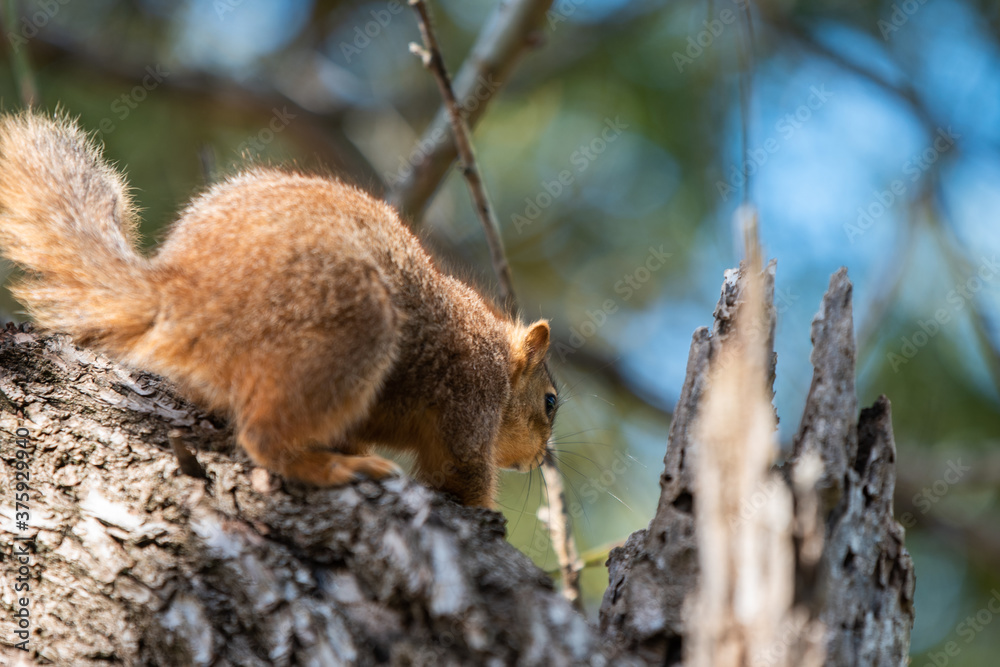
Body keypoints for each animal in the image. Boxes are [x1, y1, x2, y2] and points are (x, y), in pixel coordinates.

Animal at [0, 111, 558, 507]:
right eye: (551, 402)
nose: (540, 460)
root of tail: (184, 293)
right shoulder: (474, 397)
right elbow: (461, 478)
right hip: (350, 327)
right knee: (264, 438)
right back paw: (330, 469)